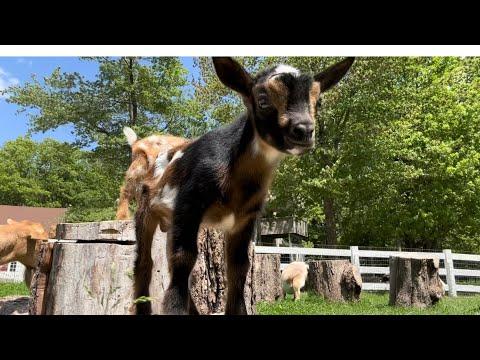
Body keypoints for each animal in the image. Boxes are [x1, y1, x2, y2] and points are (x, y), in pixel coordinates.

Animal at [133, 56, 354, 316]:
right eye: (262, 100)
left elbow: (239, 266)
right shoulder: (190, 202)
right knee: (144, 263)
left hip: (172, 221)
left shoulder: (246, 217)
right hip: (146, 211)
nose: (304, 130)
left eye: (317, 102)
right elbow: (183, 258)